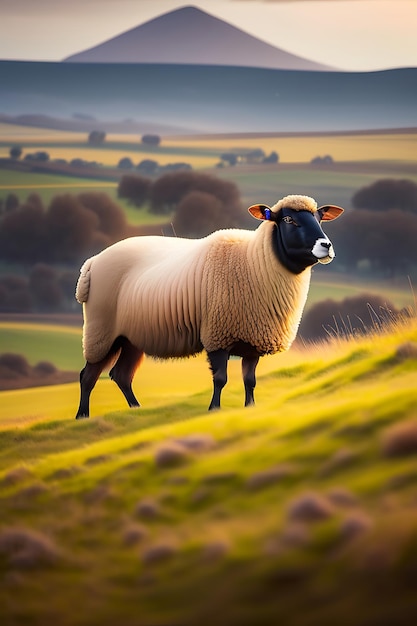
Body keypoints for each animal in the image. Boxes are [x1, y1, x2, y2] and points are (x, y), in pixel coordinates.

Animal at [74, 195, 342, 416]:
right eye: (288, 219)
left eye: (319, 218)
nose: (326, 246)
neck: (253, 261)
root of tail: (92, 262)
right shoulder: (218, 334)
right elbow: (220, 378)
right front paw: (214, 409)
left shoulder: (253, 338)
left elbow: (250, 380)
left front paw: (250, 407)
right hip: (101, 329)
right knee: (88, 376)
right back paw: (83, 416)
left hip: (130, 337)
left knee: (121, 375)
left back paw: (136, 410)